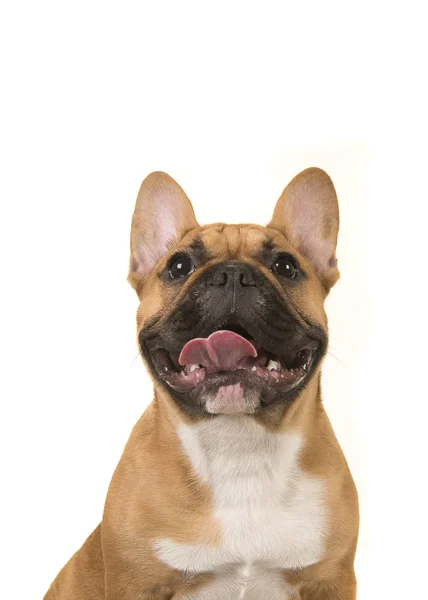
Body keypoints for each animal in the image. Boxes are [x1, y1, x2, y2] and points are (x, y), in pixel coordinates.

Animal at [44, 169, 358, 600]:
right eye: (178, 265)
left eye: (286, 266)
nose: (233, 275)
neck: (238, 445)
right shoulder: (134, 581)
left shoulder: (332, 580)